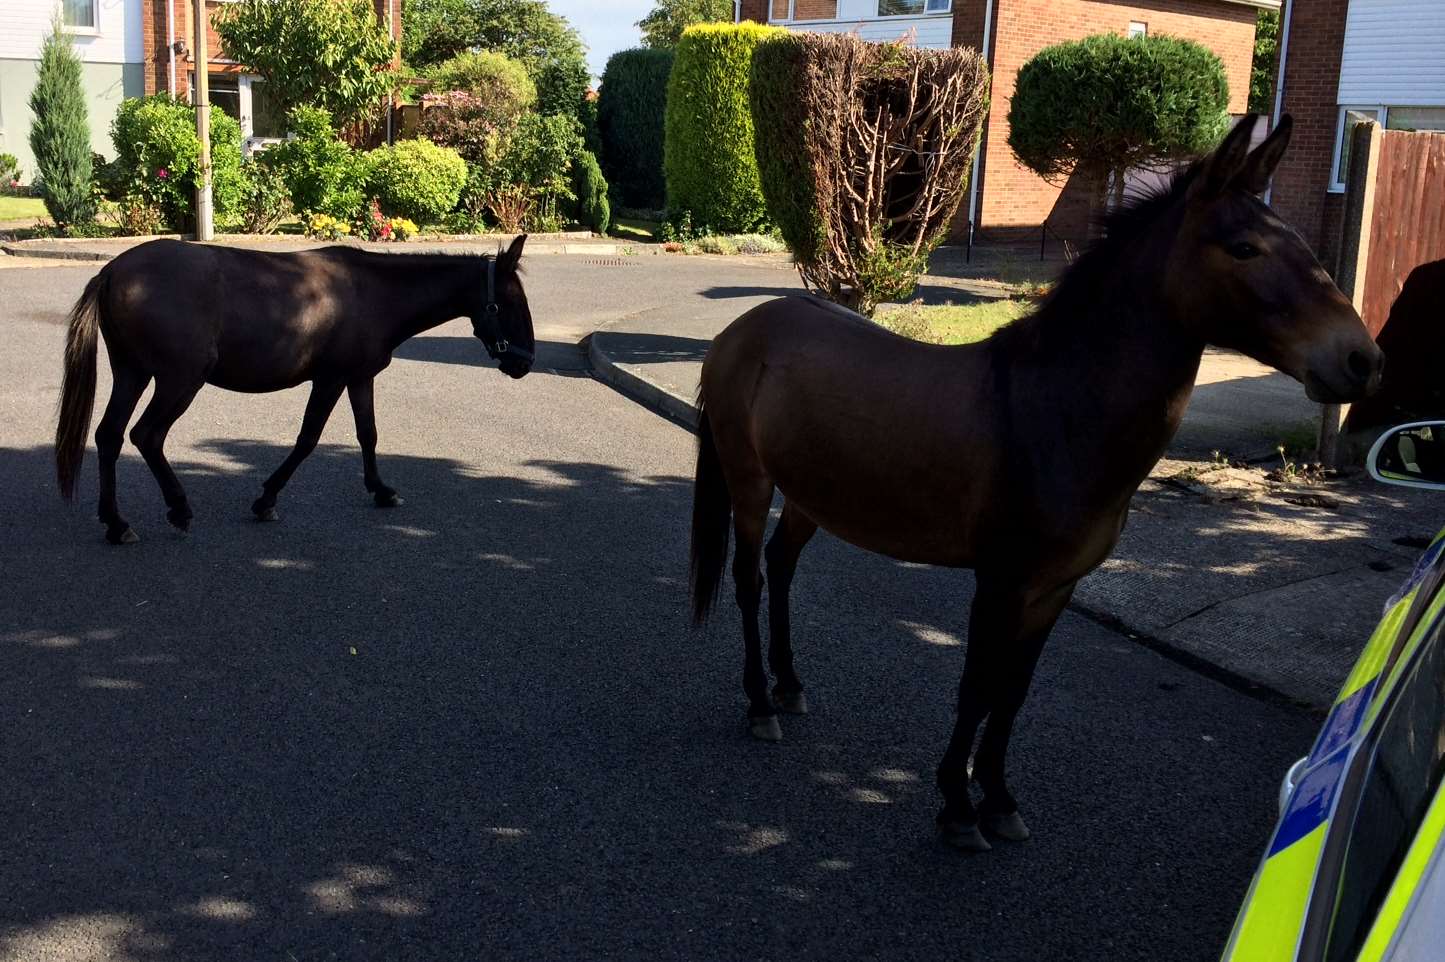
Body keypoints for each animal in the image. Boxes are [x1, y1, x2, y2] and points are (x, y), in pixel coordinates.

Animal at [54, 235, 537, 543]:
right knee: (147, 436)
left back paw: (116, 522)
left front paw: (381, 489)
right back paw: (178, 508)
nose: (525, 362)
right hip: (179, 379)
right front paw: (266, 498)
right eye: (510, 303)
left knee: (110, 436)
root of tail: (113, 271)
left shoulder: (359, 376)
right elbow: (307, 439)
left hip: (132, 372)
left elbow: (368, 434)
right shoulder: (330, 378)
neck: (375, 292)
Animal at [687, 117, 1387, 849]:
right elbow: (976, 687)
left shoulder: (1053, 588)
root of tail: (743, 330)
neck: (1056, 409)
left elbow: (1012, 694)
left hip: (809, 495)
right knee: (749, 578)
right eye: (1245, 248)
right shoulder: (998, 582)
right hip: (749, 480)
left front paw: (997, 799)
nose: (1360, 360)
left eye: (1300, 242)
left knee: (781, 565)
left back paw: (790, 685)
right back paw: (759, 703)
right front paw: (956, 807)